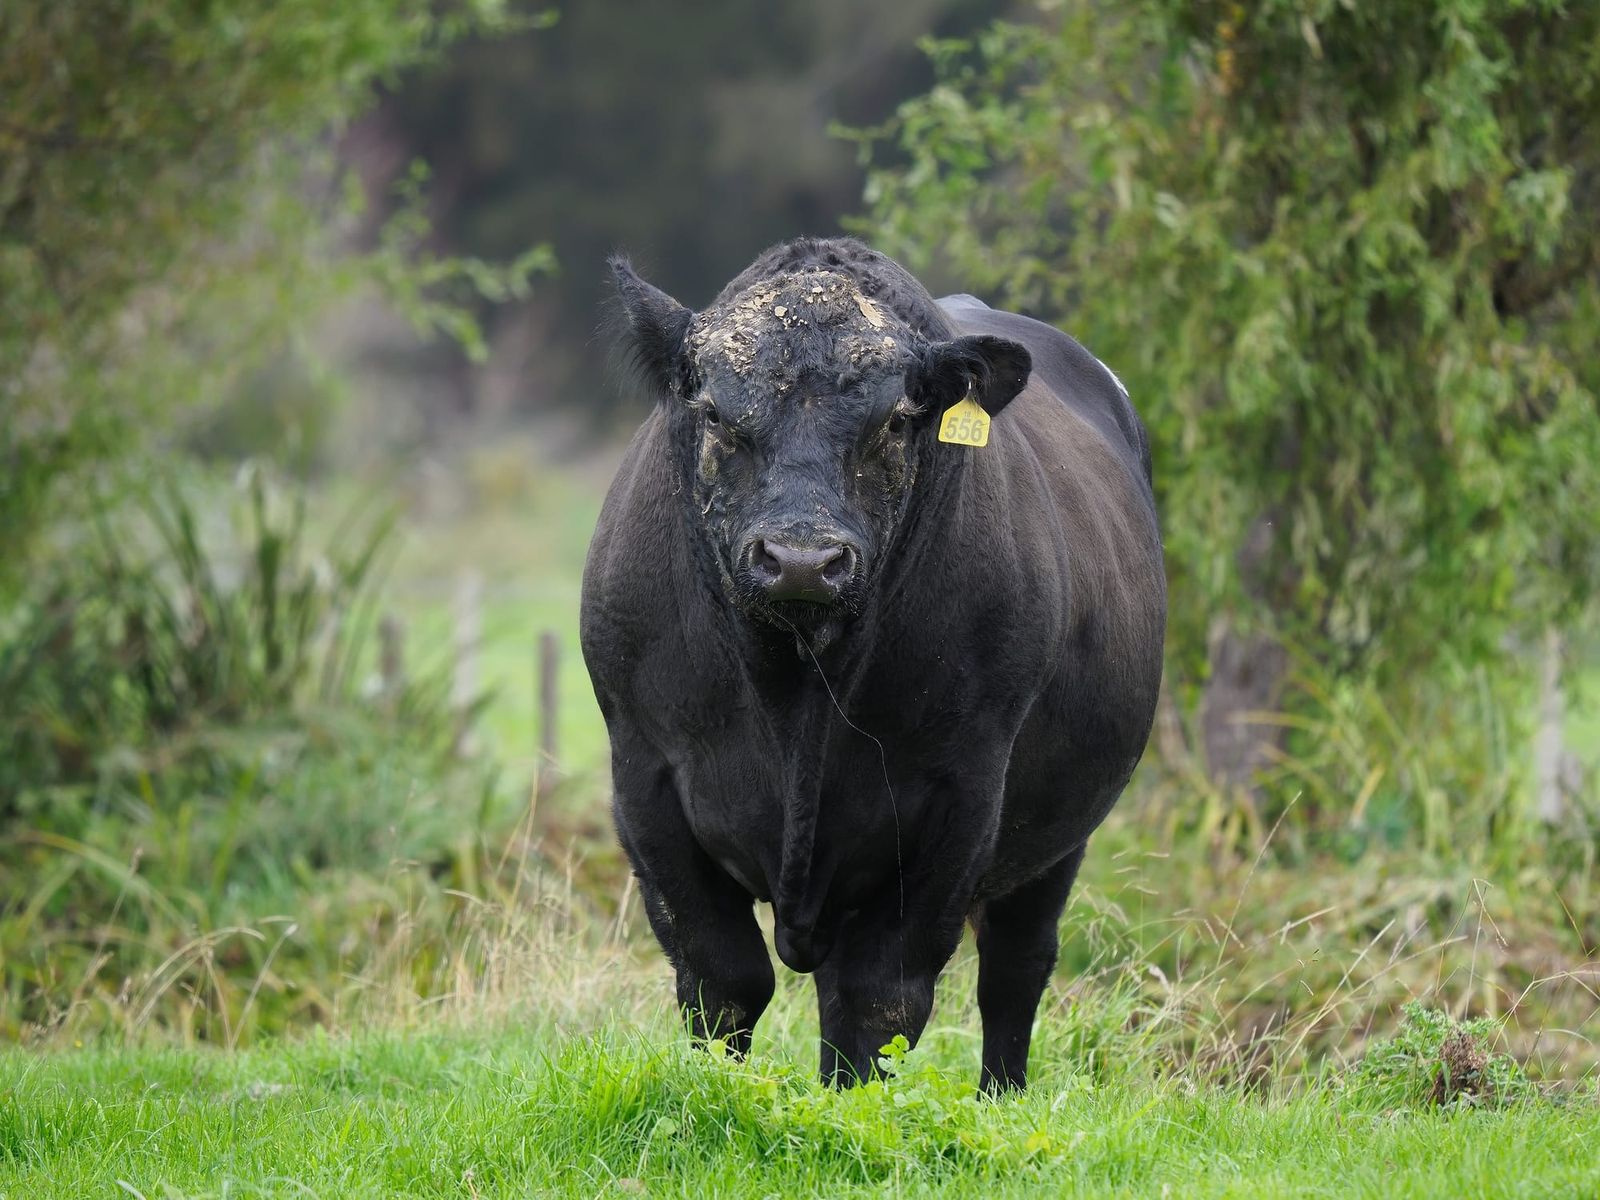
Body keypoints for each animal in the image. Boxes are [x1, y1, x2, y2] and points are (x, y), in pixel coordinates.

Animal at [580, 236, 1165, 1092]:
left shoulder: (958, 798)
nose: (800, 559)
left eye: (894, 421)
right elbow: (721, 979)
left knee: (1015, 969)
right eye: (716, 414)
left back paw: (1000, 1097)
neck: (794, 696)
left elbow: (879, 999)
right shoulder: (646, 778)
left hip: (1056, 839)